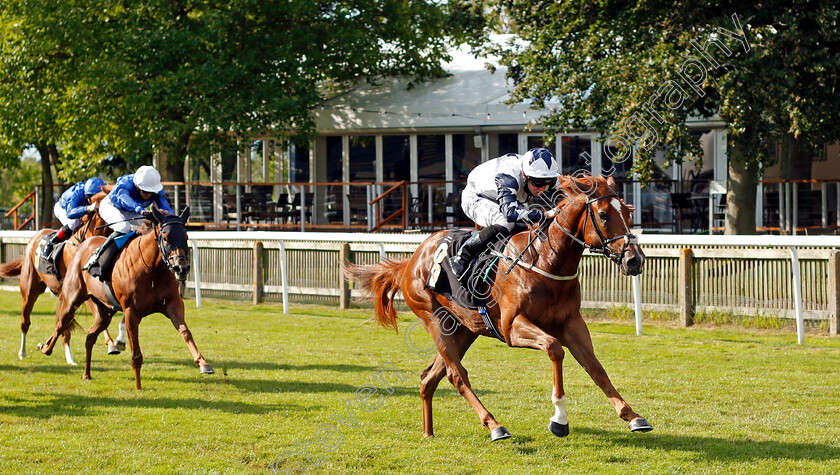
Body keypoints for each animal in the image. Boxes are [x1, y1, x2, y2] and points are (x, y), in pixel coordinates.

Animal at [0, 191, 122, 364]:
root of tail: (36, 236)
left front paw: (112, 343)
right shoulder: (82, 290)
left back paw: (67, 356)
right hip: (30, 289)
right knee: (25, 321)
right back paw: (23, 352)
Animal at [37, 205, 213, 390]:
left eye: (185, 236)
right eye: (165, 238)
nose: (182, 268)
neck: (151, 270)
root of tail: (83, 246)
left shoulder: (173, 304)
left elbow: (186, 332)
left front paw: (203, 363)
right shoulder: (131, 312)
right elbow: (136, 353)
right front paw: (138, 386)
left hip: (104, 312)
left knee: (90, 335)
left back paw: (86, 374)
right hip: (72, 299)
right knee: (61, 324)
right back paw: (45, 348)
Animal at [342, 176, 648, 442]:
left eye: (628, 212)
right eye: (604, 215)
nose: (634, 261)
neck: (546, 261)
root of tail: (411, 260)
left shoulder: (572, 323)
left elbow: (595, 367)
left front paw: (632, 415)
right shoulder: (512, 328)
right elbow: (554, 348)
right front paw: (559, 419)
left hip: (463, 329)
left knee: (430, 377)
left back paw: (429, 433)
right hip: (434, 320)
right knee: (457, 375)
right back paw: (495, 426)